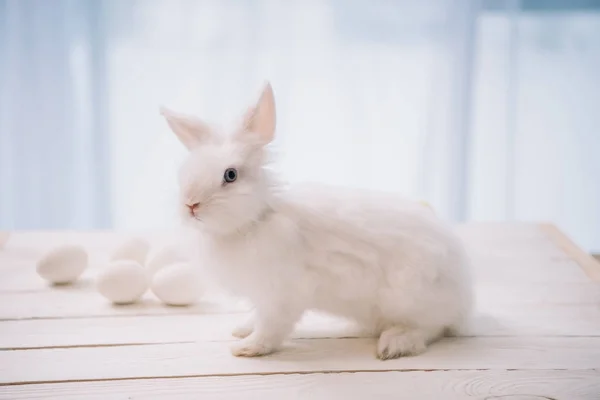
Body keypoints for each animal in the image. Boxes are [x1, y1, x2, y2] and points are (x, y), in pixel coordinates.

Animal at [162, 83, 472, 358]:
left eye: (230, 175)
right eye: (185, 171)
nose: (190, 205)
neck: (254, 221)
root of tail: (462, 294)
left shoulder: (283, 294)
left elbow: (271, 326)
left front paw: (247, 348)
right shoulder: (262, 295)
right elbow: (256, 316)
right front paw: (241, 330)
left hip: (409, 298)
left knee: (433, 328)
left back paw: (394, 344)